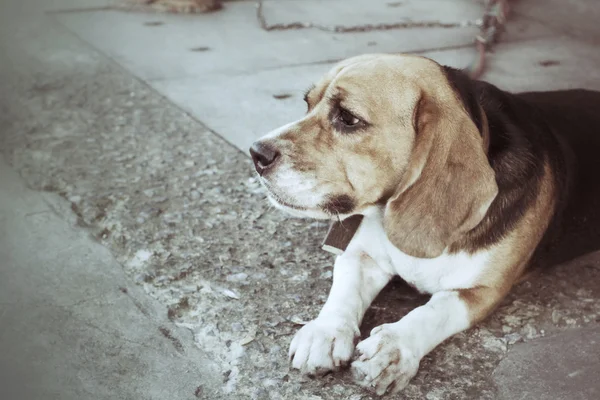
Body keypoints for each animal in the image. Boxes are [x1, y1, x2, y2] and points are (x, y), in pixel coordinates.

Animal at [247, 54, 600, 396]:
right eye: (307, 104)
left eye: (348, 118)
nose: (256, 153)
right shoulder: (362, 255)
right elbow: (344, 291)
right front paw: (325, 331)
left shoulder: (481, 292)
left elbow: (433, 311)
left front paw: (393, 347)